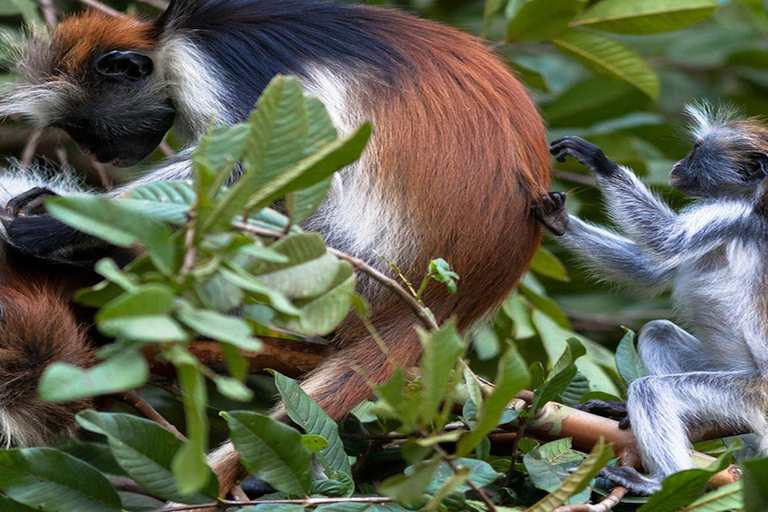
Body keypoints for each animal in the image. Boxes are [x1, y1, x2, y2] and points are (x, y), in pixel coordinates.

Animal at [1, 0, 552, 496]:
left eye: (85, 127)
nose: (97, 153)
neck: (166, 38)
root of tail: (446, 301)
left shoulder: (208, 64)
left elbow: (250, 170)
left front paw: (53, 222)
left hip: (343, 264)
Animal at [536, 105, 768, 496]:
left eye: (695, 151)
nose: (678, 165)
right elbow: (650, 273)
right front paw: (557, 219)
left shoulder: (733, 214)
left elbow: (665, 241)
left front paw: (599, 162)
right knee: (658, 332)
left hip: (754, 392)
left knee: (653, 389)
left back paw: (660, 483)